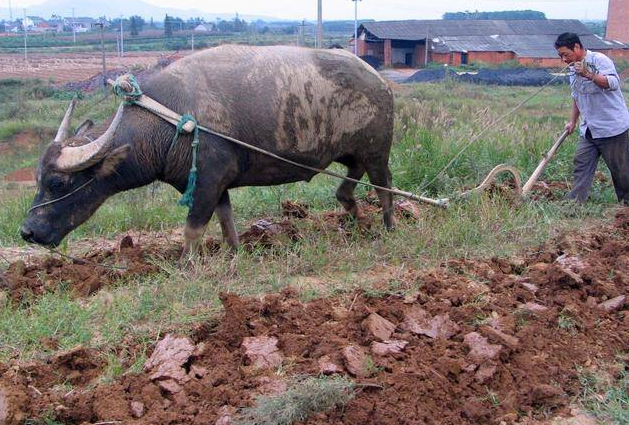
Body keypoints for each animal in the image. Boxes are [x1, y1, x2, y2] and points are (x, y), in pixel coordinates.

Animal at [19, 44, 392, 253]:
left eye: (57, 183)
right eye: (37, 180)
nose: (27, 231)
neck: (168, 124)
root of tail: (379, 80)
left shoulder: (208, 181)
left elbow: (193, 228)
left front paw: (187, 263)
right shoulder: (216, 184)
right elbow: (226, 220)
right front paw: (234, 252)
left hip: (377, 152)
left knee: (384, 186)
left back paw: (387, 226)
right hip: (353, 153)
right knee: (349, 184)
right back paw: (355, 217)